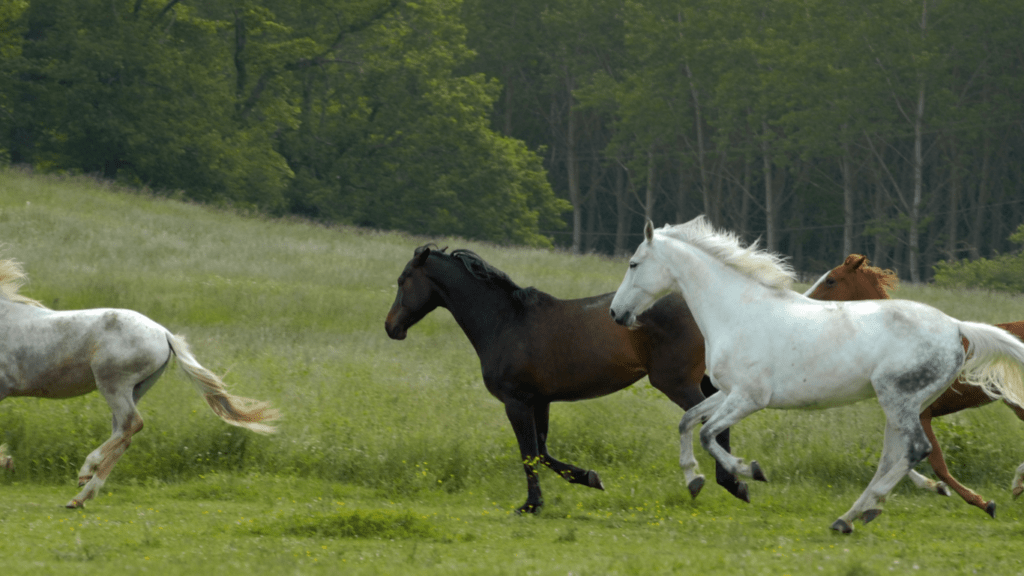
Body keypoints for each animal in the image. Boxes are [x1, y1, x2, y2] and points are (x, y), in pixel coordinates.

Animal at [382, 241, 745, 510]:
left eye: (402, 280)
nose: (391, 327)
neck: (505, 323)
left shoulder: (516, 401)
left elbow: (529, 454)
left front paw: (531, 505)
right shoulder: (539, 401)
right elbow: (542, 452)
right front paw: (590, 478)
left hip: (677, 383)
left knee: (707, 420)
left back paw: (724, 482)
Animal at [806, 253, 1024, 512]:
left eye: (831, 280)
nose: (803, 301)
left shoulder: (921, 414)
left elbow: (935, 463)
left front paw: (981, 502)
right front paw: (935, 488)